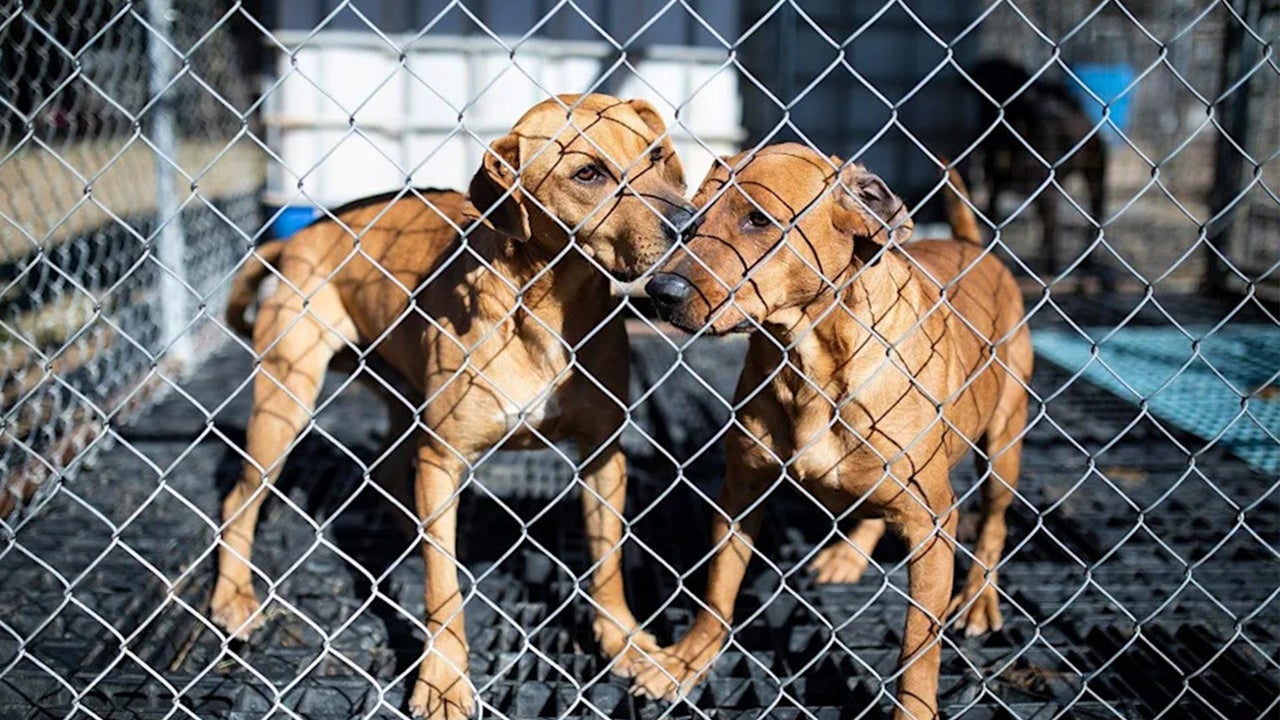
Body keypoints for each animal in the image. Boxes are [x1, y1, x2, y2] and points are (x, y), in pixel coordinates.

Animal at [211, 95, 696, 717]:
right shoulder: (443, 459)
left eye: (657, 156)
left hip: (401, 404)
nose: (691, 225)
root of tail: (297, 240)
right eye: (588, 174)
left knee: (391, 475)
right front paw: (443, 681)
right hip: (284, 407)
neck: (545, 307)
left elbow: (607, 562)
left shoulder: (602, 457)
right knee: (239, 500)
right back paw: (234, 599)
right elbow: (444, 589)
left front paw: (624, 642)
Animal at [634, 141, 1034, 717]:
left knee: (995, 527)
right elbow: (717, 593)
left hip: (1003, 446)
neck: (809, 360)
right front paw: (688, 660)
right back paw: (850, 552)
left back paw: (979, 600)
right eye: (691, 221)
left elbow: (918, 644)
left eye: (759, 219)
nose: (660, 291)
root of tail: (967, 245)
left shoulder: (934, 525)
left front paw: (915, 708)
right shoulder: (740, 494)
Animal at [972, 56, 1116, 288]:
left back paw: (1085, 260)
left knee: (1094, 214)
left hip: (1094, 176)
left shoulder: (1046, 191)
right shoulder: (995, 187)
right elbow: (995, 221)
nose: (1050, 112)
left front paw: (1051, 267)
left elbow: (1051, 228)